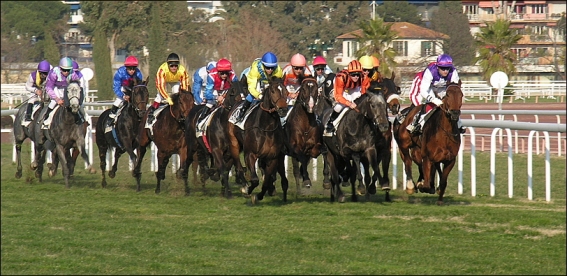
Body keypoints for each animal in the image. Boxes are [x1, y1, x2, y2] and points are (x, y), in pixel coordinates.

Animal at [226, 75, 288, 203]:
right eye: (273, 91)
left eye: (285, 91)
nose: (283, 110)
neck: (267, 128)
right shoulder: (250, 154)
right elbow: (254, 179)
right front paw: (248, 190)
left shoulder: (272, 158)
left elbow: (267, 180)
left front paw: (260, 195)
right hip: (234, 144)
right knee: (239, 167)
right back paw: (244, 185)